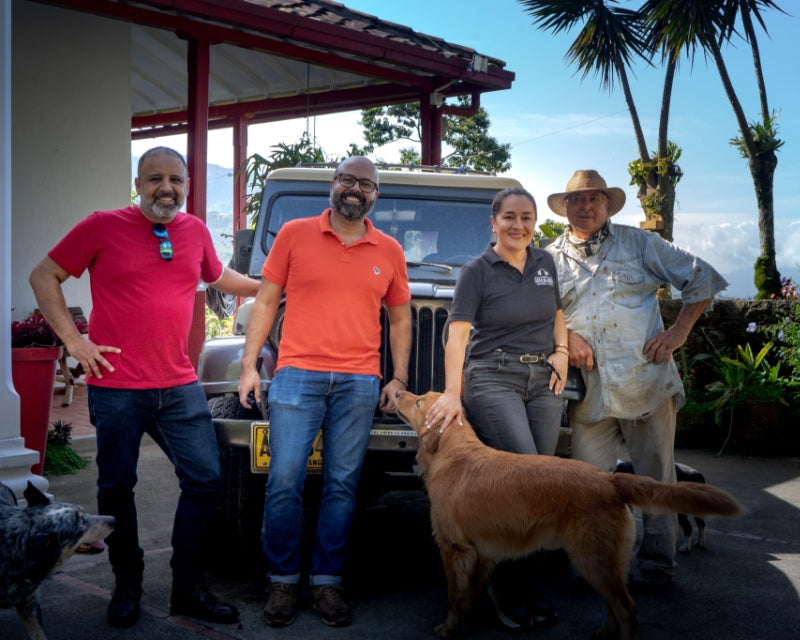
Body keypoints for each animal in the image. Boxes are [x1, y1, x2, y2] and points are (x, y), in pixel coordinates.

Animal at [396, 390, 740, 640]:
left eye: (418, 401)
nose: (397, 391)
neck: (453, 451)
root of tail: (610, 480)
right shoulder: (483, 552)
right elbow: (472, 592)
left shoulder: (453, 548)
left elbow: (454, 596)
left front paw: (448, 628)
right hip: (603, 562)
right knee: (614, 605)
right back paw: (603, 632)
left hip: (591, 558)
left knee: (628, 609)